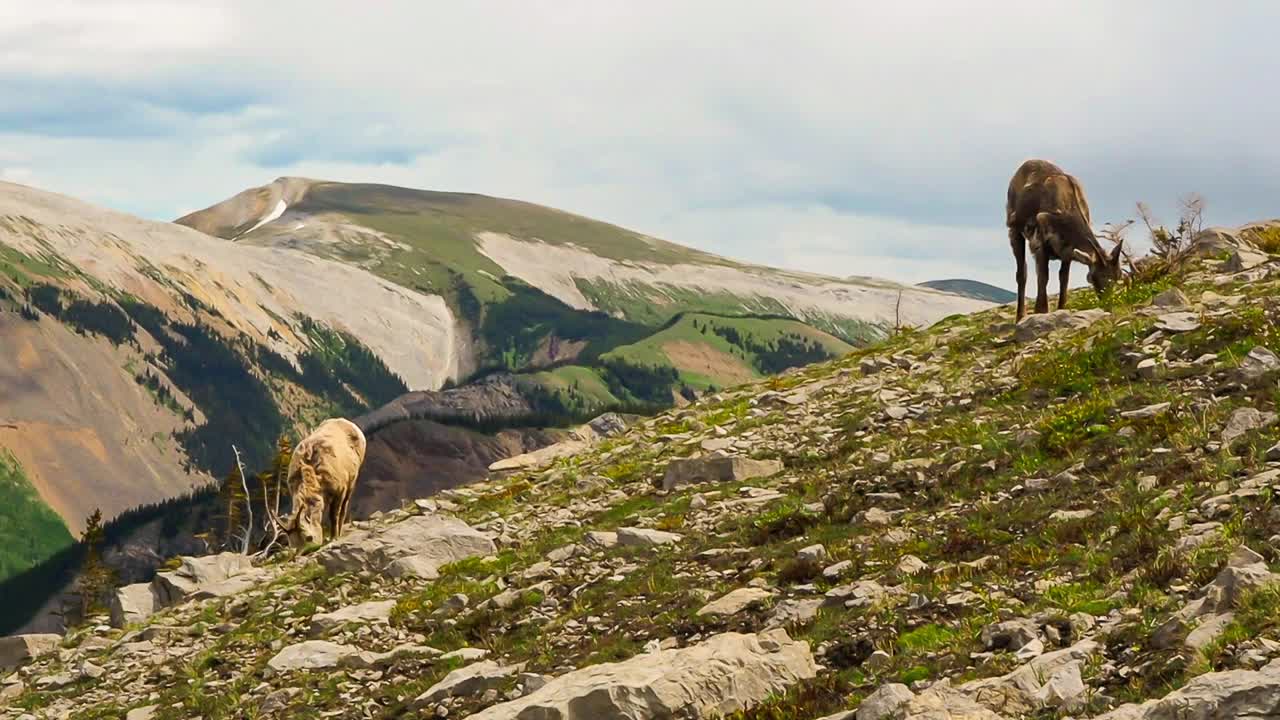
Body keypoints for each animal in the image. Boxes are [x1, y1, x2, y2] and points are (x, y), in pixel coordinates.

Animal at [288, 415, 368, 543]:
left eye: (309, 538)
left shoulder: (340, 492)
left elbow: (334, 515)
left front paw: (334, 537)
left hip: (352, 483)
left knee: (343, 509)